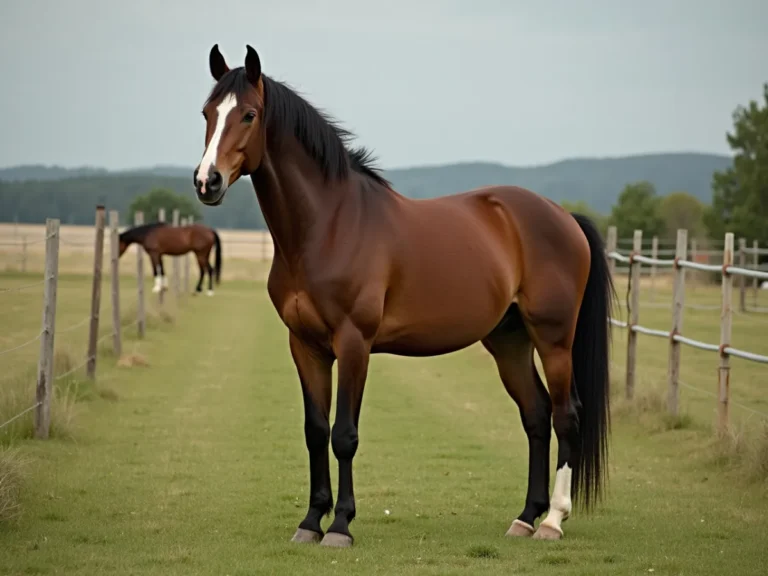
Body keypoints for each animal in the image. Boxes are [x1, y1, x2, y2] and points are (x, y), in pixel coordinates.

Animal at [193, 44, 615, 548]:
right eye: (206, 113)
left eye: (249, 115)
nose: (207, 181)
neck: (330, 225)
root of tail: (564, 217)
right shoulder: (305, 346)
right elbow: (315, 431)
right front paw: (311, 522)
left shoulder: (353, 343)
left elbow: (344, 435)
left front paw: (340, 526)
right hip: (508, 339)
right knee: (536, 415)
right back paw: (524, 517)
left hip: (553, 338)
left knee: (565, 415)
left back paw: (552, 520)